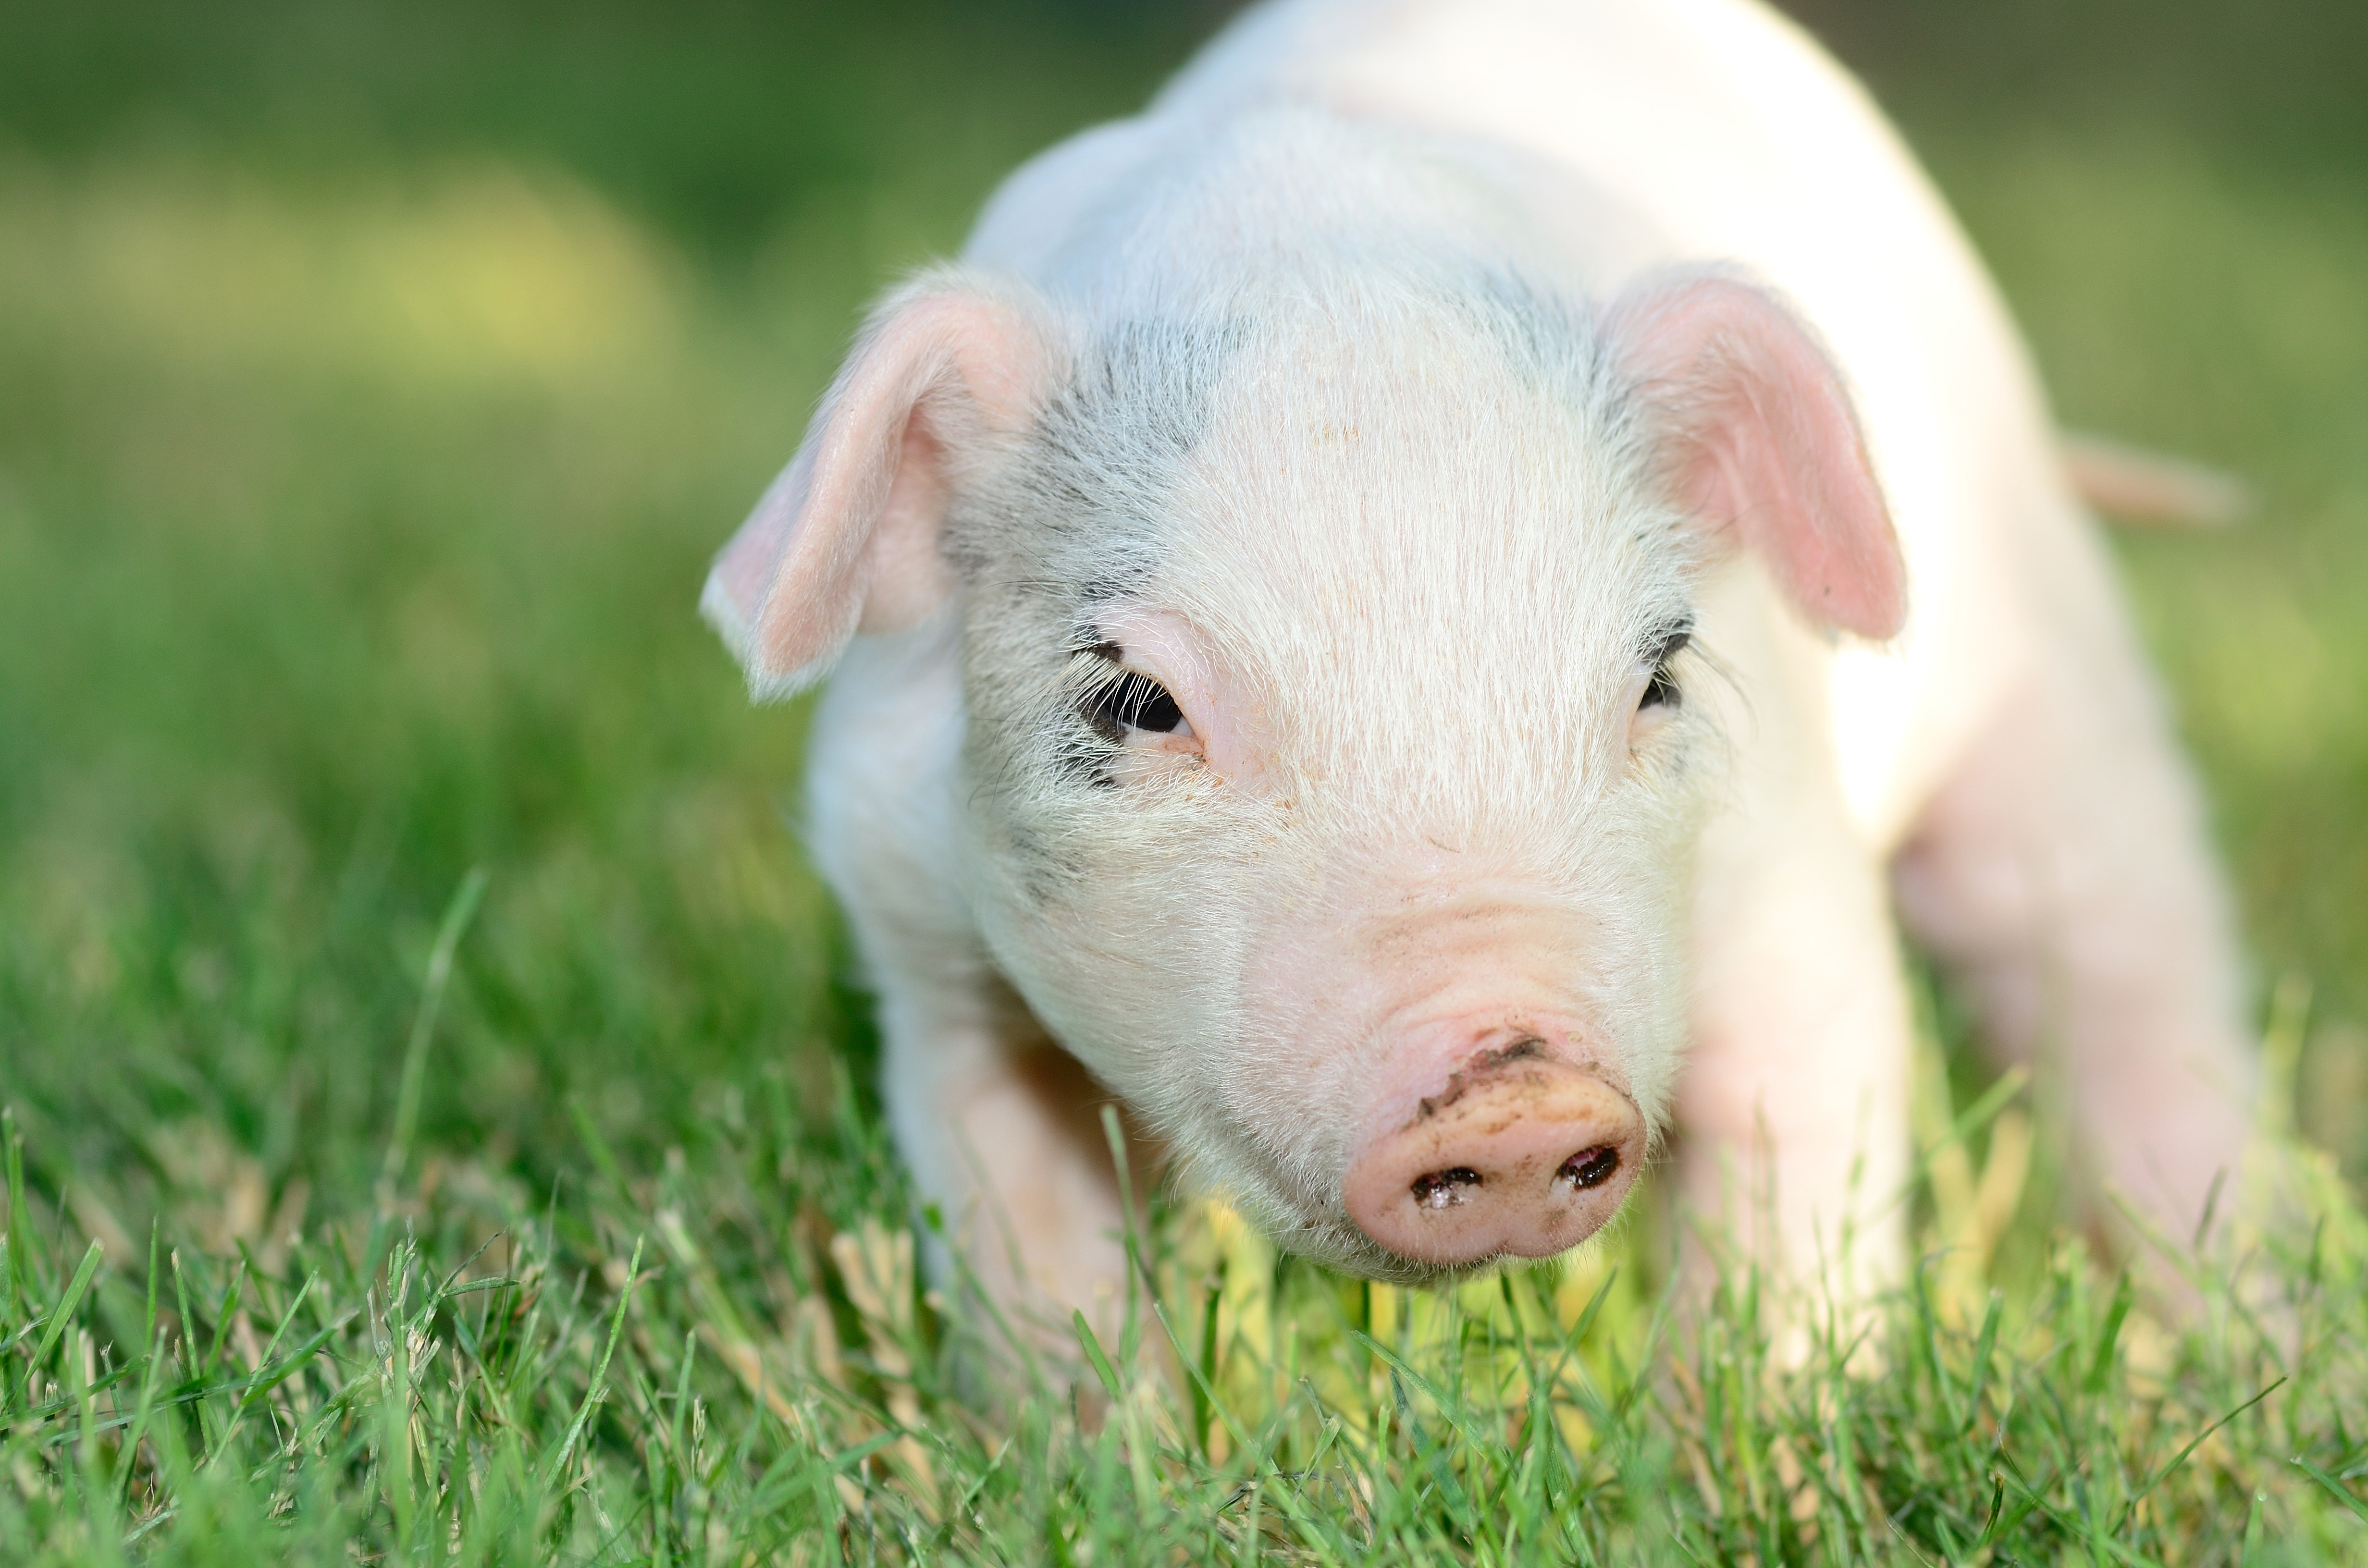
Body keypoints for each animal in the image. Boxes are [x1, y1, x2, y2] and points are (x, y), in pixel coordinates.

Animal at [703, 0, 2259, 1335]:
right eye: (1136, 701)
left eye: (1657, 680)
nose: (1512, 1091)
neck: (1315, 241)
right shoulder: (917, 940)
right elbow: (1033, 1267)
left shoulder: (1788, 882)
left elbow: (1795, 1200)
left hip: (2046, 656)